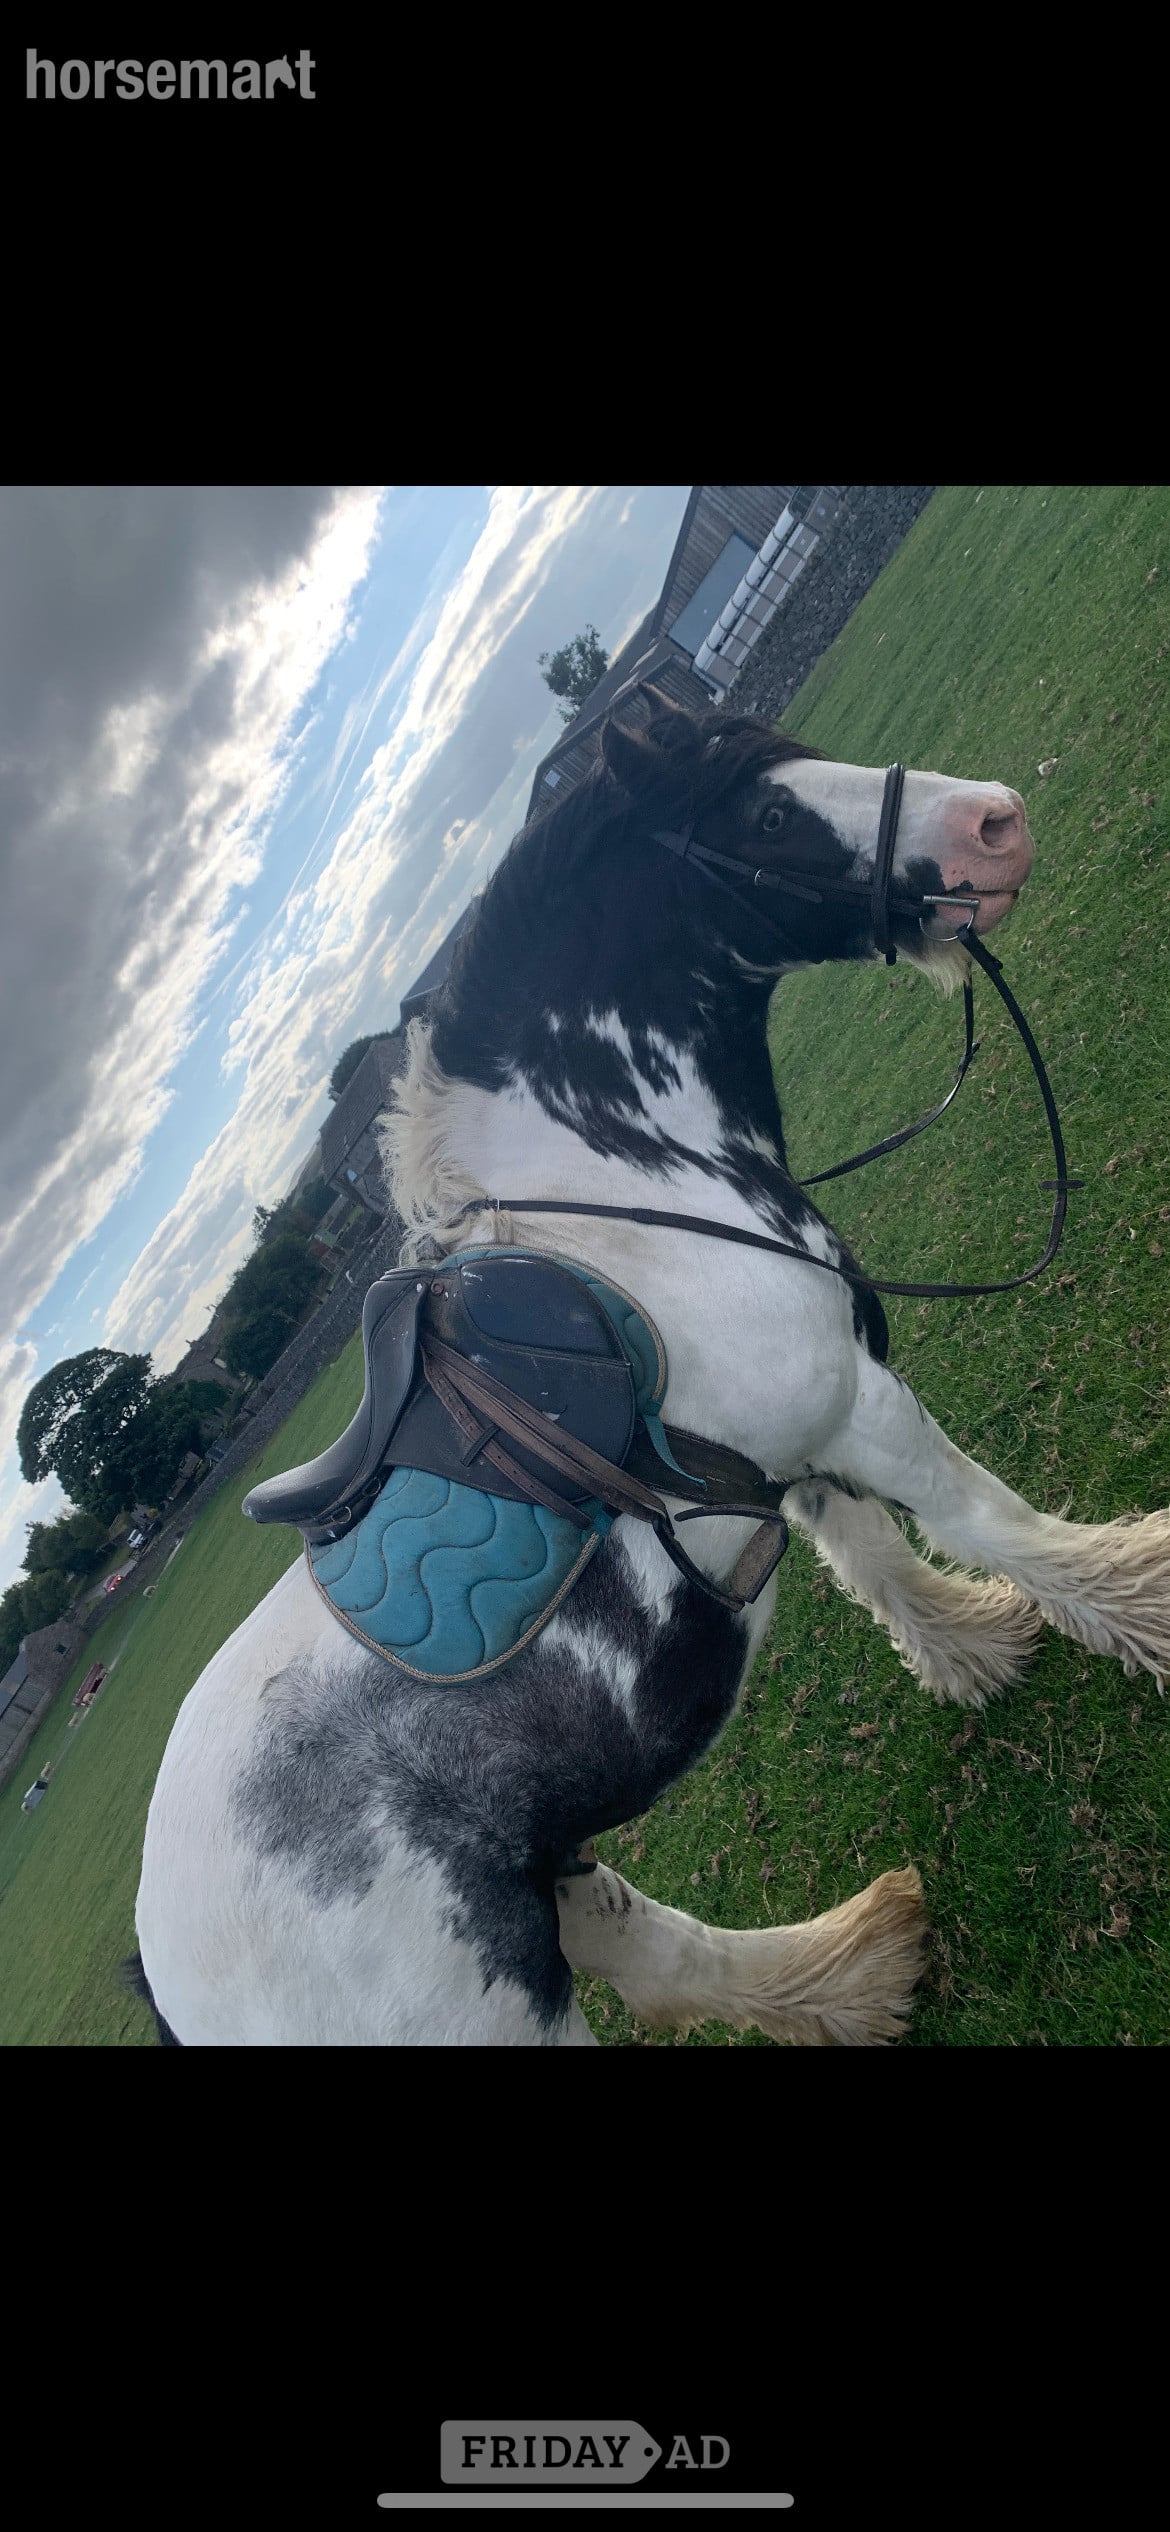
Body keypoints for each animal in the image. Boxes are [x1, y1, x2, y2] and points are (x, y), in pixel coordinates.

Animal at [133, 702, 1170, 2045]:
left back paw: (854, 1967)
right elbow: (987, 1522)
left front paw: (971, 1653)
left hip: (548, 1880)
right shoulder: (861, 1407)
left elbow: (875, 1558)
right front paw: (1142, 1603)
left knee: (661, 1951)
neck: (635, 1189)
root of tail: (169, 1974)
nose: (993, 821)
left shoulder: (796, 1449)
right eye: (769, 814)